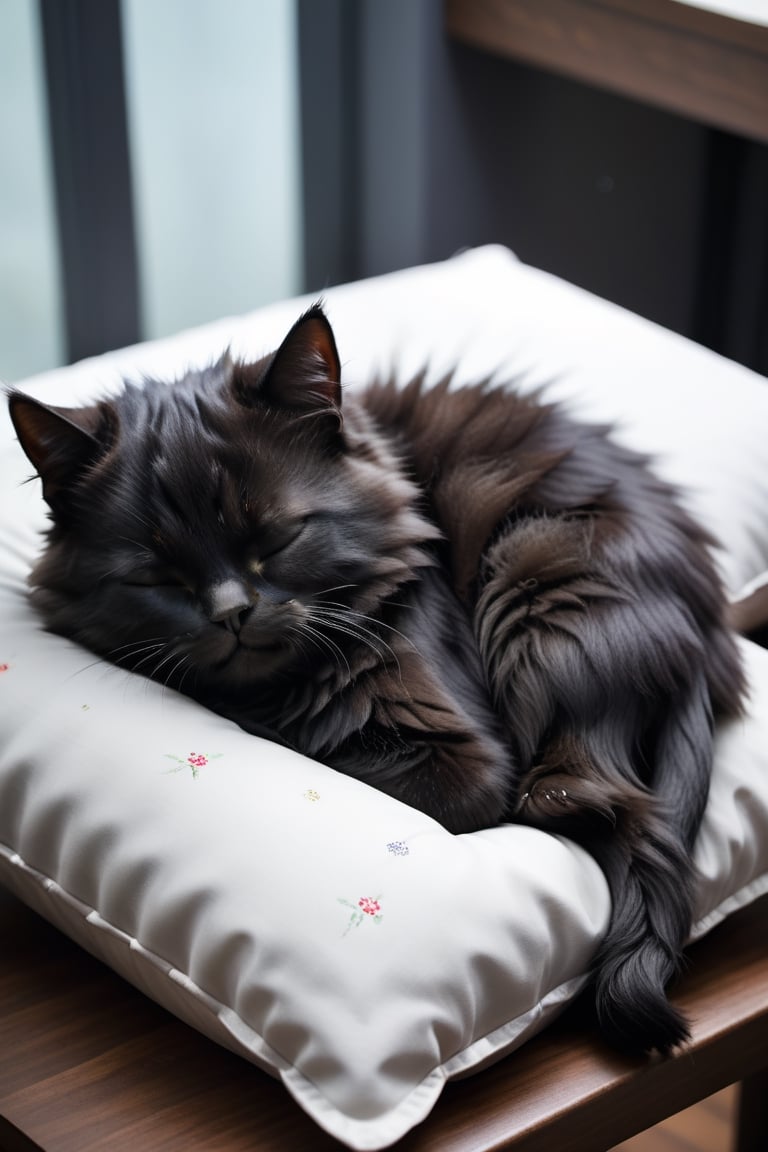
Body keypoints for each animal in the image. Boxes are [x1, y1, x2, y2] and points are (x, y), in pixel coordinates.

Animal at [6, 304, 746, 1055]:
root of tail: (706, 637)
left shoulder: (461, 759)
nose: (231, 613)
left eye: (277, 539)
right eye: (158, 578)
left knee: (581, 798)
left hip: (539, 578)